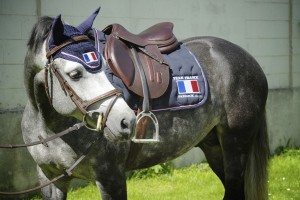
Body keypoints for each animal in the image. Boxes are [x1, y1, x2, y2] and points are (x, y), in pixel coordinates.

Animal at [22, 9, 268, 200]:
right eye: (75, 74)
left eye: (104, 65)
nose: (126, 121)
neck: (50, 126)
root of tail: (250, 60)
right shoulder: (50, 180)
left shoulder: (111, 177)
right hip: (214, 147)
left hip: (236, 145)